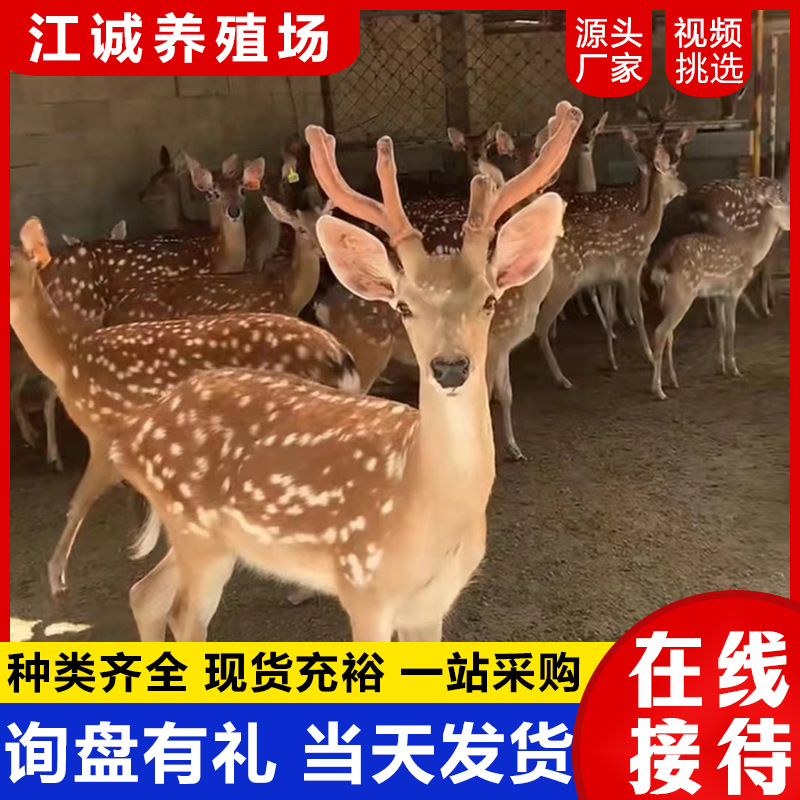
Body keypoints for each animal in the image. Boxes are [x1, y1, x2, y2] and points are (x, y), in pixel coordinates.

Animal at [11, 217, 363, 598]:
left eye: (10, 267)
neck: (68, 358)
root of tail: (340, 358)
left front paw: (57, 576)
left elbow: (78, 500)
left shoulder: (106, 431)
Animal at [96, 103, 583, 644]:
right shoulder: (364, 590)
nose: (450, 367)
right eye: (404, 306)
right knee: (182, 615)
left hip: (195, 535)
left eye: (489, 300)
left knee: (145, 594)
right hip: (198, 533)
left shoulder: (431, 607)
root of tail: (135, 437)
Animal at [535, 140, 688, 389]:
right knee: (539, 327)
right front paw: (648, 356)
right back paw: (562, 379)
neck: (646, 229)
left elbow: (609, 315)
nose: (685, 187)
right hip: (564, 281)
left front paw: (612, 360)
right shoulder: (632, 269)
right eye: (674, 172)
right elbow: (638, 313)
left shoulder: (606, 278)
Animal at [650, 183, 790, 399]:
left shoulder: (718, 294)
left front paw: (721, 366)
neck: (752, 253)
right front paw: (734, 368)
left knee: (669, 334)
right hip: (683, 293)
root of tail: (662, 264)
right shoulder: (734, 289)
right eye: (786, 208)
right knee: (660, 332)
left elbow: (721, 327)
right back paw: (658, 390)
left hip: (666, 297)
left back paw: (673, 382)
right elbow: (731, 328)